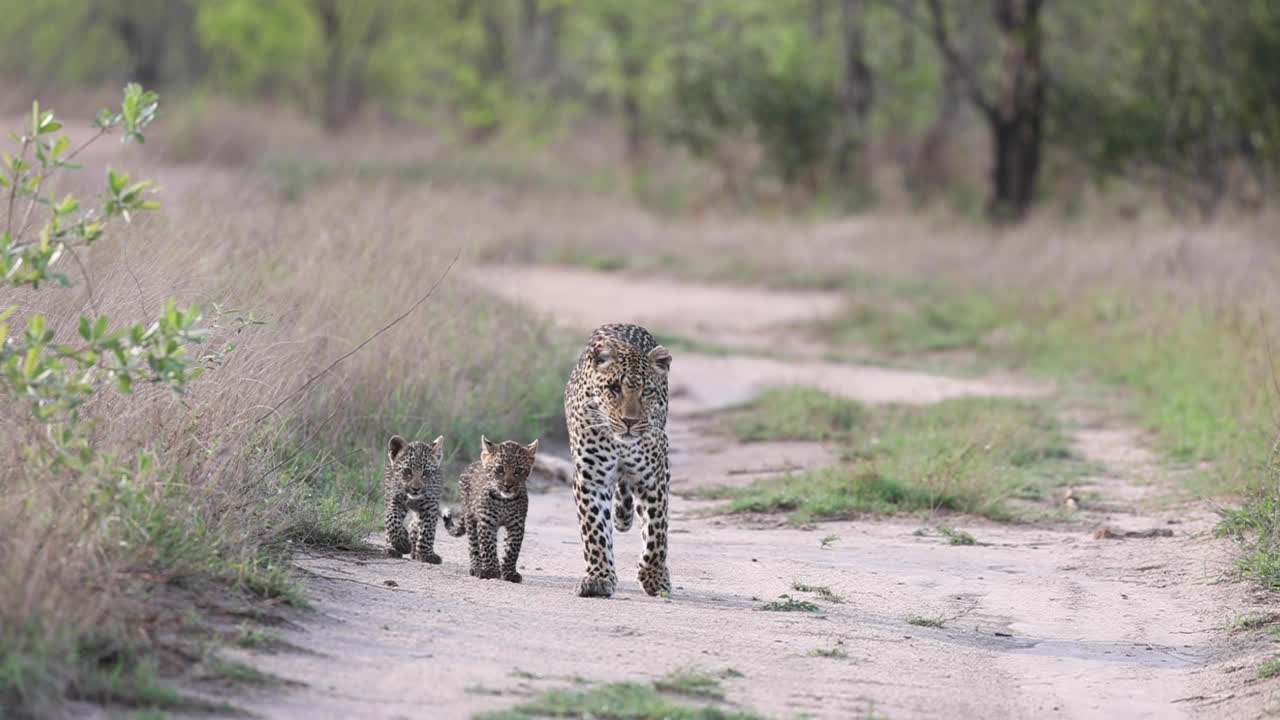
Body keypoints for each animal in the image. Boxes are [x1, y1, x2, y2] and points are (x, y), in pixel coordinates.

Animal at [382, 434, 445, 563]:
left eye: (425, 472)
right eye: (407, 471)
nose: (415, 489)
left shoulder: (430, 506)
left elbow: (428, 530)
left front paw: (427, 554)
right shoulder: (396, 500)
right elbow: (392, 521)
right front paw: (402, 544)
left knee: (415, 524)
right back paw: (391, 548)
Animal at [441, 436, 538, 583]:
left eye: (519, 470)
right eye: (500, 469)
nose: (508, 485)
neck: (504, 501)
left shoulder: (516, 525)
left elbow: (511, 550)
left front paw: (509, 572)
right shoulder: (487, 522)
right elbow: (488, 546)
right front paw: (491, 571)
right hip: (470, 517)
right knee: (474, 545)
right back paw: (476, 567)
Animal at [563, 323, 672, 598]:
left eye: (647, 392)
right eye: (614, 388)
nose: (629, 421)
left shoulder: (652, 479)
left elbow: (656, 533)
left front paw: (655, 577)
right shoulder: (591, 479)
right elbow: (595, 532)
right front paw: (599, 578)